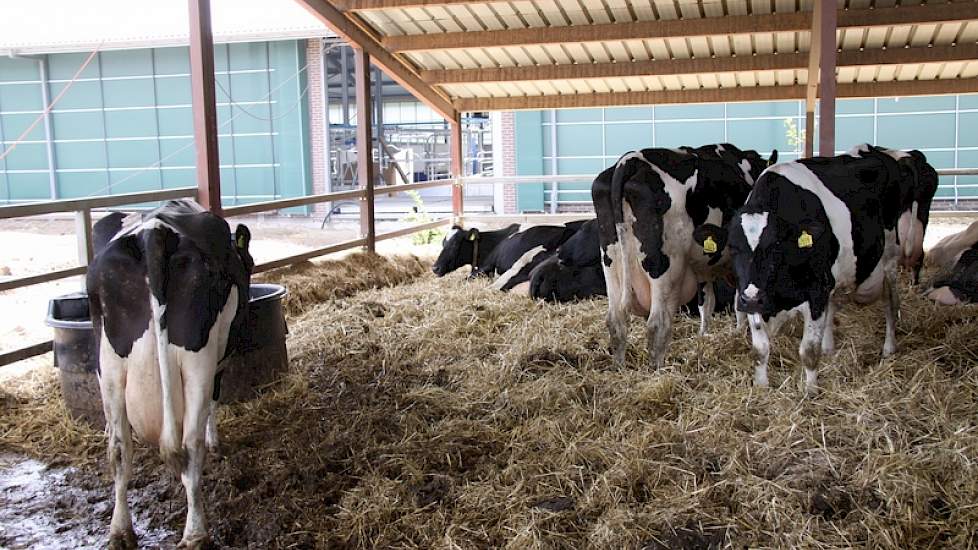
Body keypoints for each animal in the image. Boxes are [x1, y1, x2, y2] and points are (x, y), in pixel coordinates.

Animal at [86, 202, 252, 550]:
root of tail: (153, 233)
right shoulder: (219, 361)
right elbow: (215, 401)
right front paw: (215, 442)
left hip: (108, 364)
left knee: (119, 450)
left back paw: (120, 531)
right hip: (198, 361)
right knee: (189, 447)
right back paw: (196, 533)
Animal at [592, 149, 752, 368]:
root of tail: (631, 159)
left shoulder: (702, 270)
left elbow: (707, 302)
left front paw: (705, 335)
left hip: (612, 264)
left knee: (616, 321)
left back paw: (619, 367)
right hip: (666, 269)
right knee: (658, 324)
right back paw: (658, 369)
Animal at [728, 156, 904, 396]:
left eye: (776, 246)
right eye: (733, 248)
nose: (751, 298)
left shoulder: (816, 291)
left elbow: (809, 351)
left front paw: (810, 391)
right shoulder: (755, 298)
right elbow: (760, 349)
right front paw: (761, 386)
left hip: (890, 257)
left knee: (890, 302)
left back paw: (889, 347)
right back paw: (828, 346)